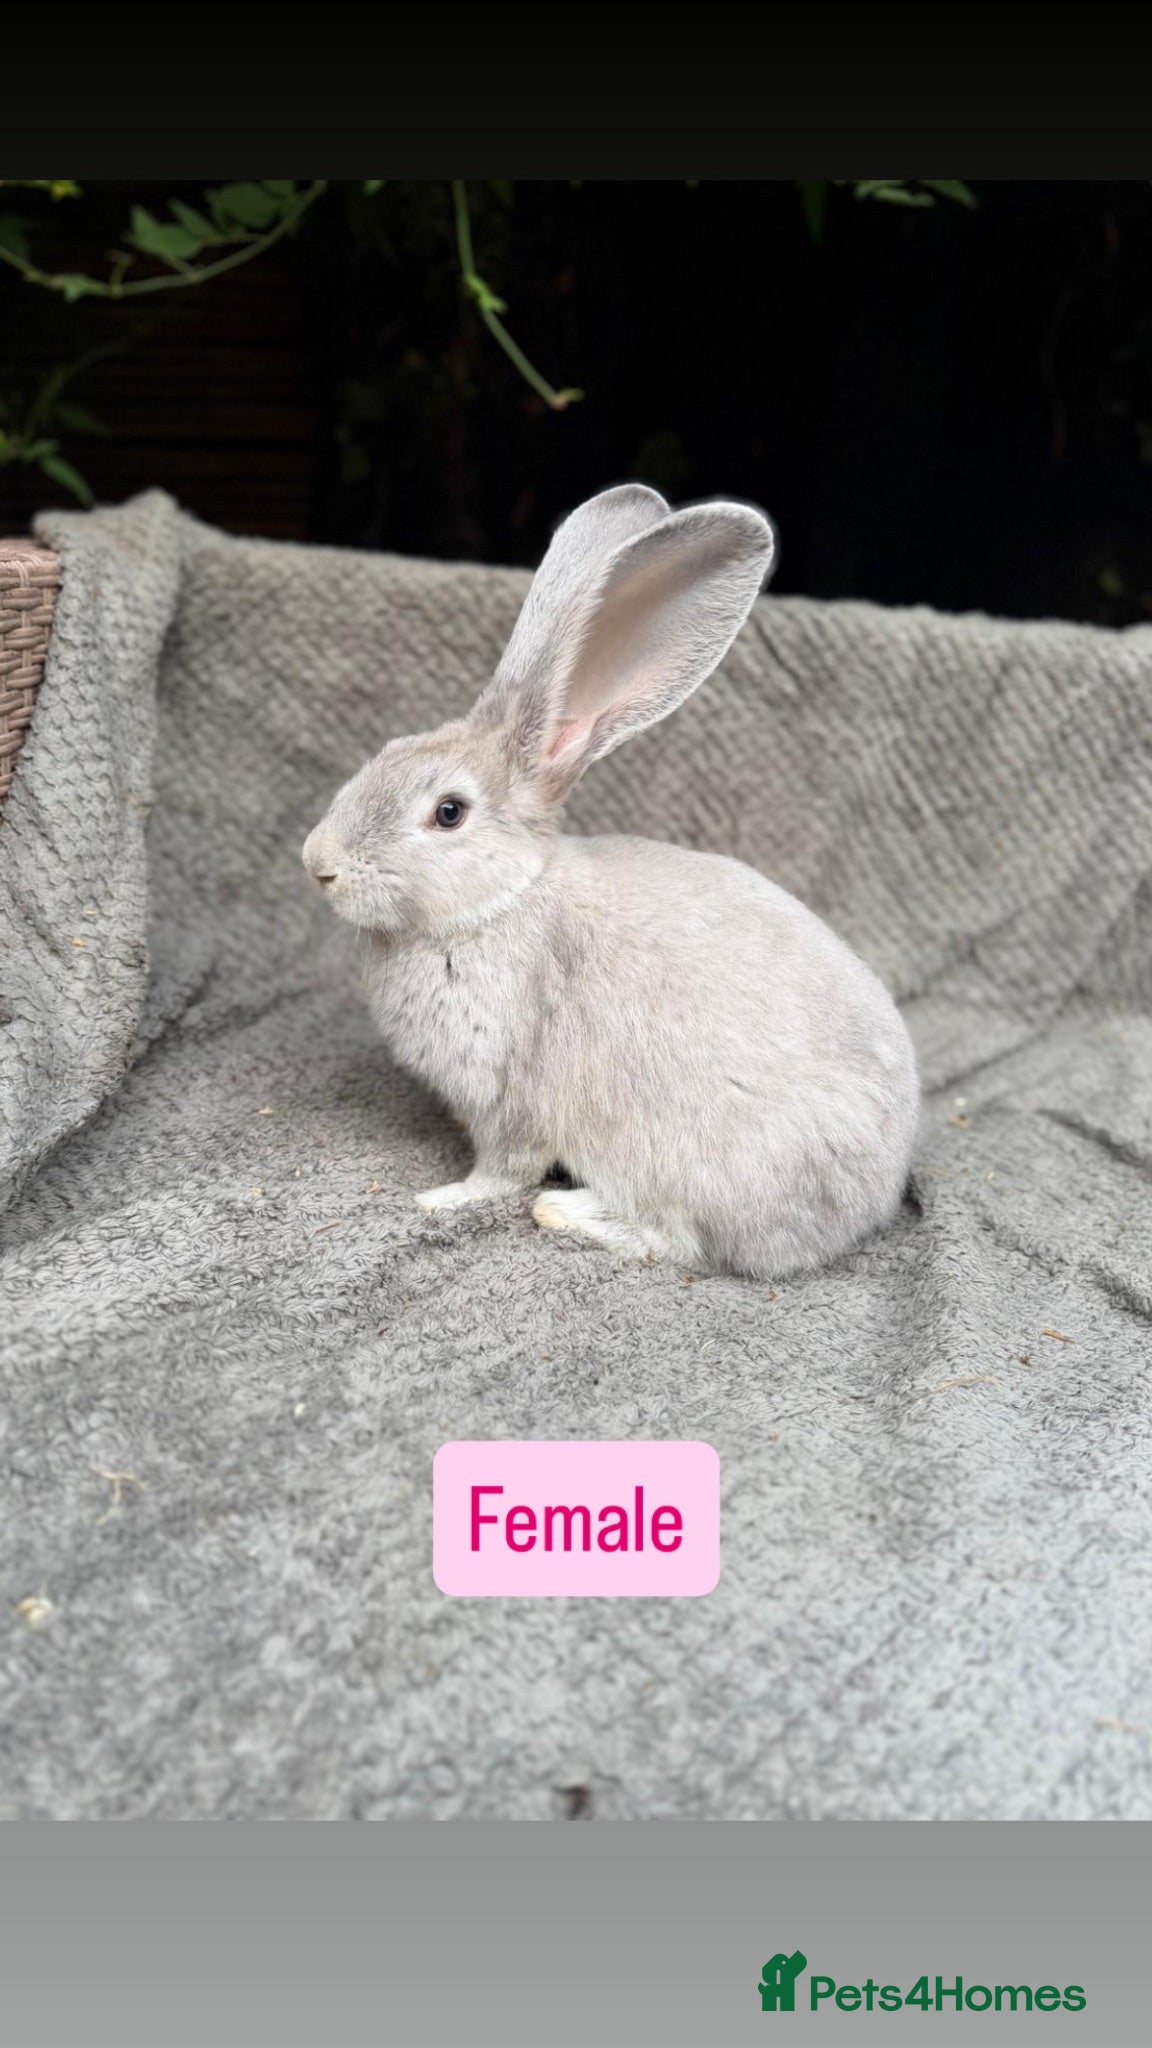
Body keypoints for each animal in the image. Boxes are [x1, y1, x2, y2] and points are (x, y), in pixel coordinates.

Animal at [302, 484, 919, 1279]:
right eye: (388, 749)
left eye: (448, 813)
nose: (318, 863)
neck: (499, 903)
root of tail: (874, 1201)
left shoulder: (512, 1099)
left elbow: (504, 1171)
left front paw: (443, 1200)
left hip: (688, 1162)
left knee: (679, 1241)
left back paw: (567, 1211)